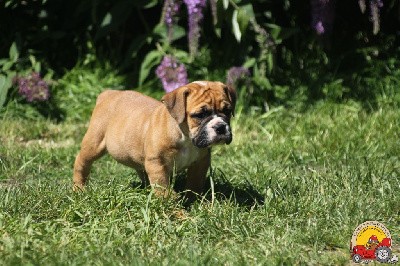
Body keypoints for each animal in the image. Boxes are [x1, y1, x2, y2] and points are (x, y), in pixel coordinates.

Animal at [73, 81, 236, 200]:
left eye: (227, 111)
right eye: (200, 115)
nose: (220, 127)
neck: (186, 137)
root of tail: (108, 94)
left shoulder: (200, 162)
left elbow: (194, 183)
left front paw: (193, 199)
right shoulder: (157, 164)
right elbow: (162, 187)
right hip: (94, 144)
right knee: (81, 163)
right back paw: (79, 188)